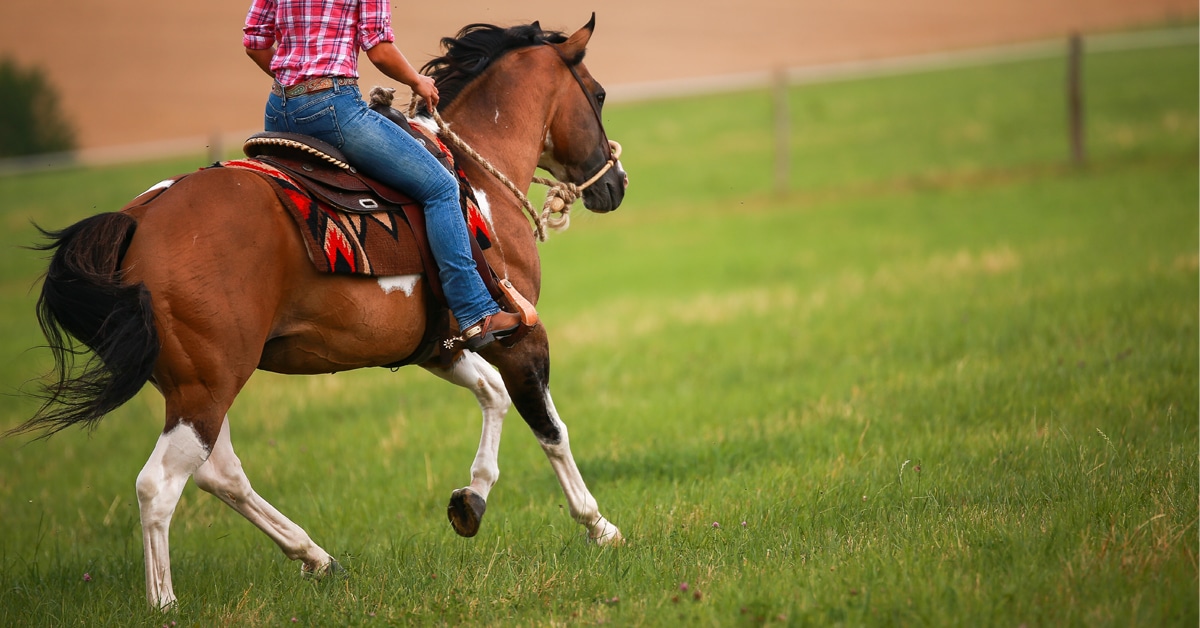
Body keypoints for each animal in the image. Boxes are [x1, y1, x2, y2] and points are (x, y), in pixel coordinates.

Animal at [13, 16, 627, 608]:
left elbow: (492, 396)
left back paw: (315, 557)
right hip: (208, 386)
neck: (476, 184)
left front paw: (470, 502)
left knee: (220, 473)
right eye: (597, 94)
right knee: (158, 485)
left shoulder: (438, 347)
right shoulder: (518, 335)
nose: (616, 184)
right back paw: (164, 603)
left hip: (194, 385)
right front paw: (598, 525)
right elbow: (550, 429)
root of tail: (138, 220)